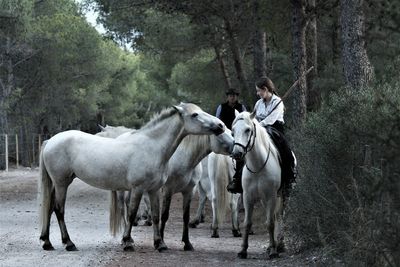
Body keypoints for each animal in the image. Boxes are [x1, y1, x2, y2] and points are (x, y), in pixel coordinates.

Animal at [37, 103, 225, 252]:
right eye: (194, 115)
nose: (221, 125)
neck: (152, 147)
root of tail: (50, 141)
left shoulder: (154, 190)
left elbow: (155, 215)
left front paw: (160, 244)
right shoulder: (138, 188)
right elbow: (133, 213)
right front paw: (127, 242)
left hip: (56, 184)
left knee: (49, 208)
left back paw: (47, 242)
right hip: (62, 183)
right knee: (59, 209)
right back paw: (69, 243)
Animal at [230, 111, 282, 260]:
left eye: (248, 130)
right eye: (233, 131)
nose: (237, 153)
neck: (258, 166)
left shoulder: (271, 196)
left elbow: (270, 223)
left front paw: (273, 252)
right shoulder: (248, 197)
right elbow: (247, 223)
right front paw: (243, 250)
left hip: (280, 196)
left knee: (279, 217)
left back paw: (279, 245)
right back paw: (272, 245)